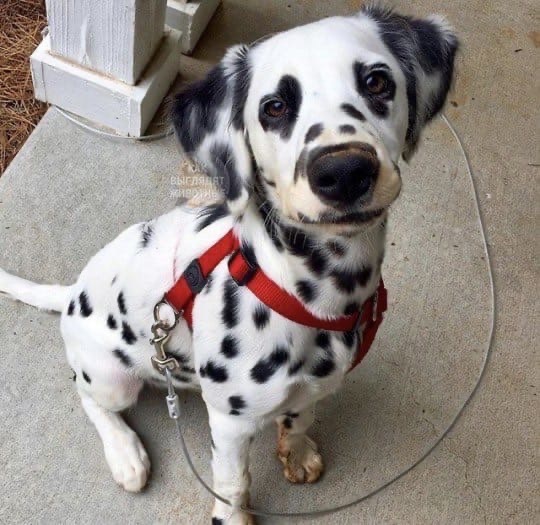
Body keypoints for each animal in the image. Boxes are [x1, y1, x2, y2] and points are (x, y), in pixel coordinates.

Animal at [0, 5, 458, 524]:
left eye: (377, 82)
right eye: (274, 107)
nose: (343, 172)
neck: (312, 293)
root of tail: (72, 291)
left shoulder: (315, 387)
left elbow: (300, 418)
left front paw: (297, 452)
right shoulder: (232, 424)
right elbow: (233, 484)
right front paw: (234, 515)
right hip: (112, 378)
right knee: (88, 396)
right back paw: (125, 453)